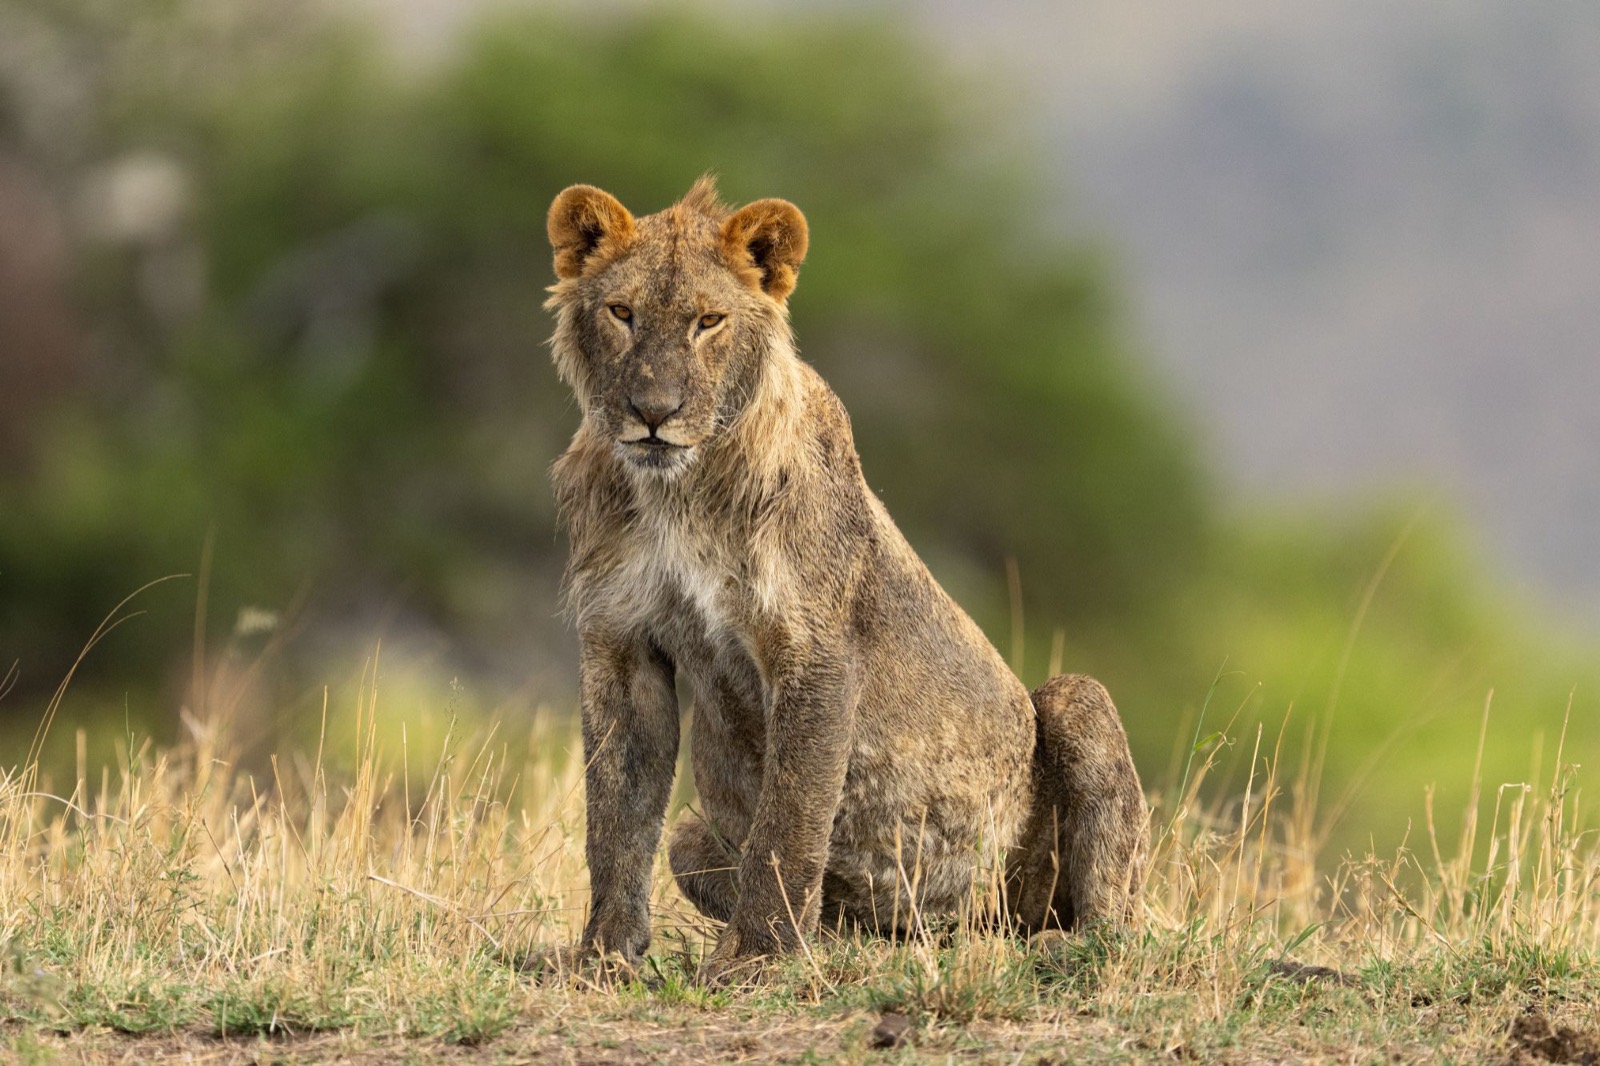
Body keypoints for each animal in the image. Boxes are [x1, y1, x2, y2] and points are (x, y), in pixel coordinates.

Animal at [544, 177, 1146, 982]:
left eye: (708, 321)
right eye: (621, 312)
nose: (652, 413)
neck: (677, 493)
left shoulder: (815, 649)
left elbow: (790, 818)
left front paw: (759, 957)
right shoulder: (621, 641)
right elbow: (616, 817)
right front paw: (605, 957)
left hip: (1074, 713)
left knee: (1112, 922)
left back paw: (1054, 946)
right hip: (698, 839)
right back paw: (847, 943)